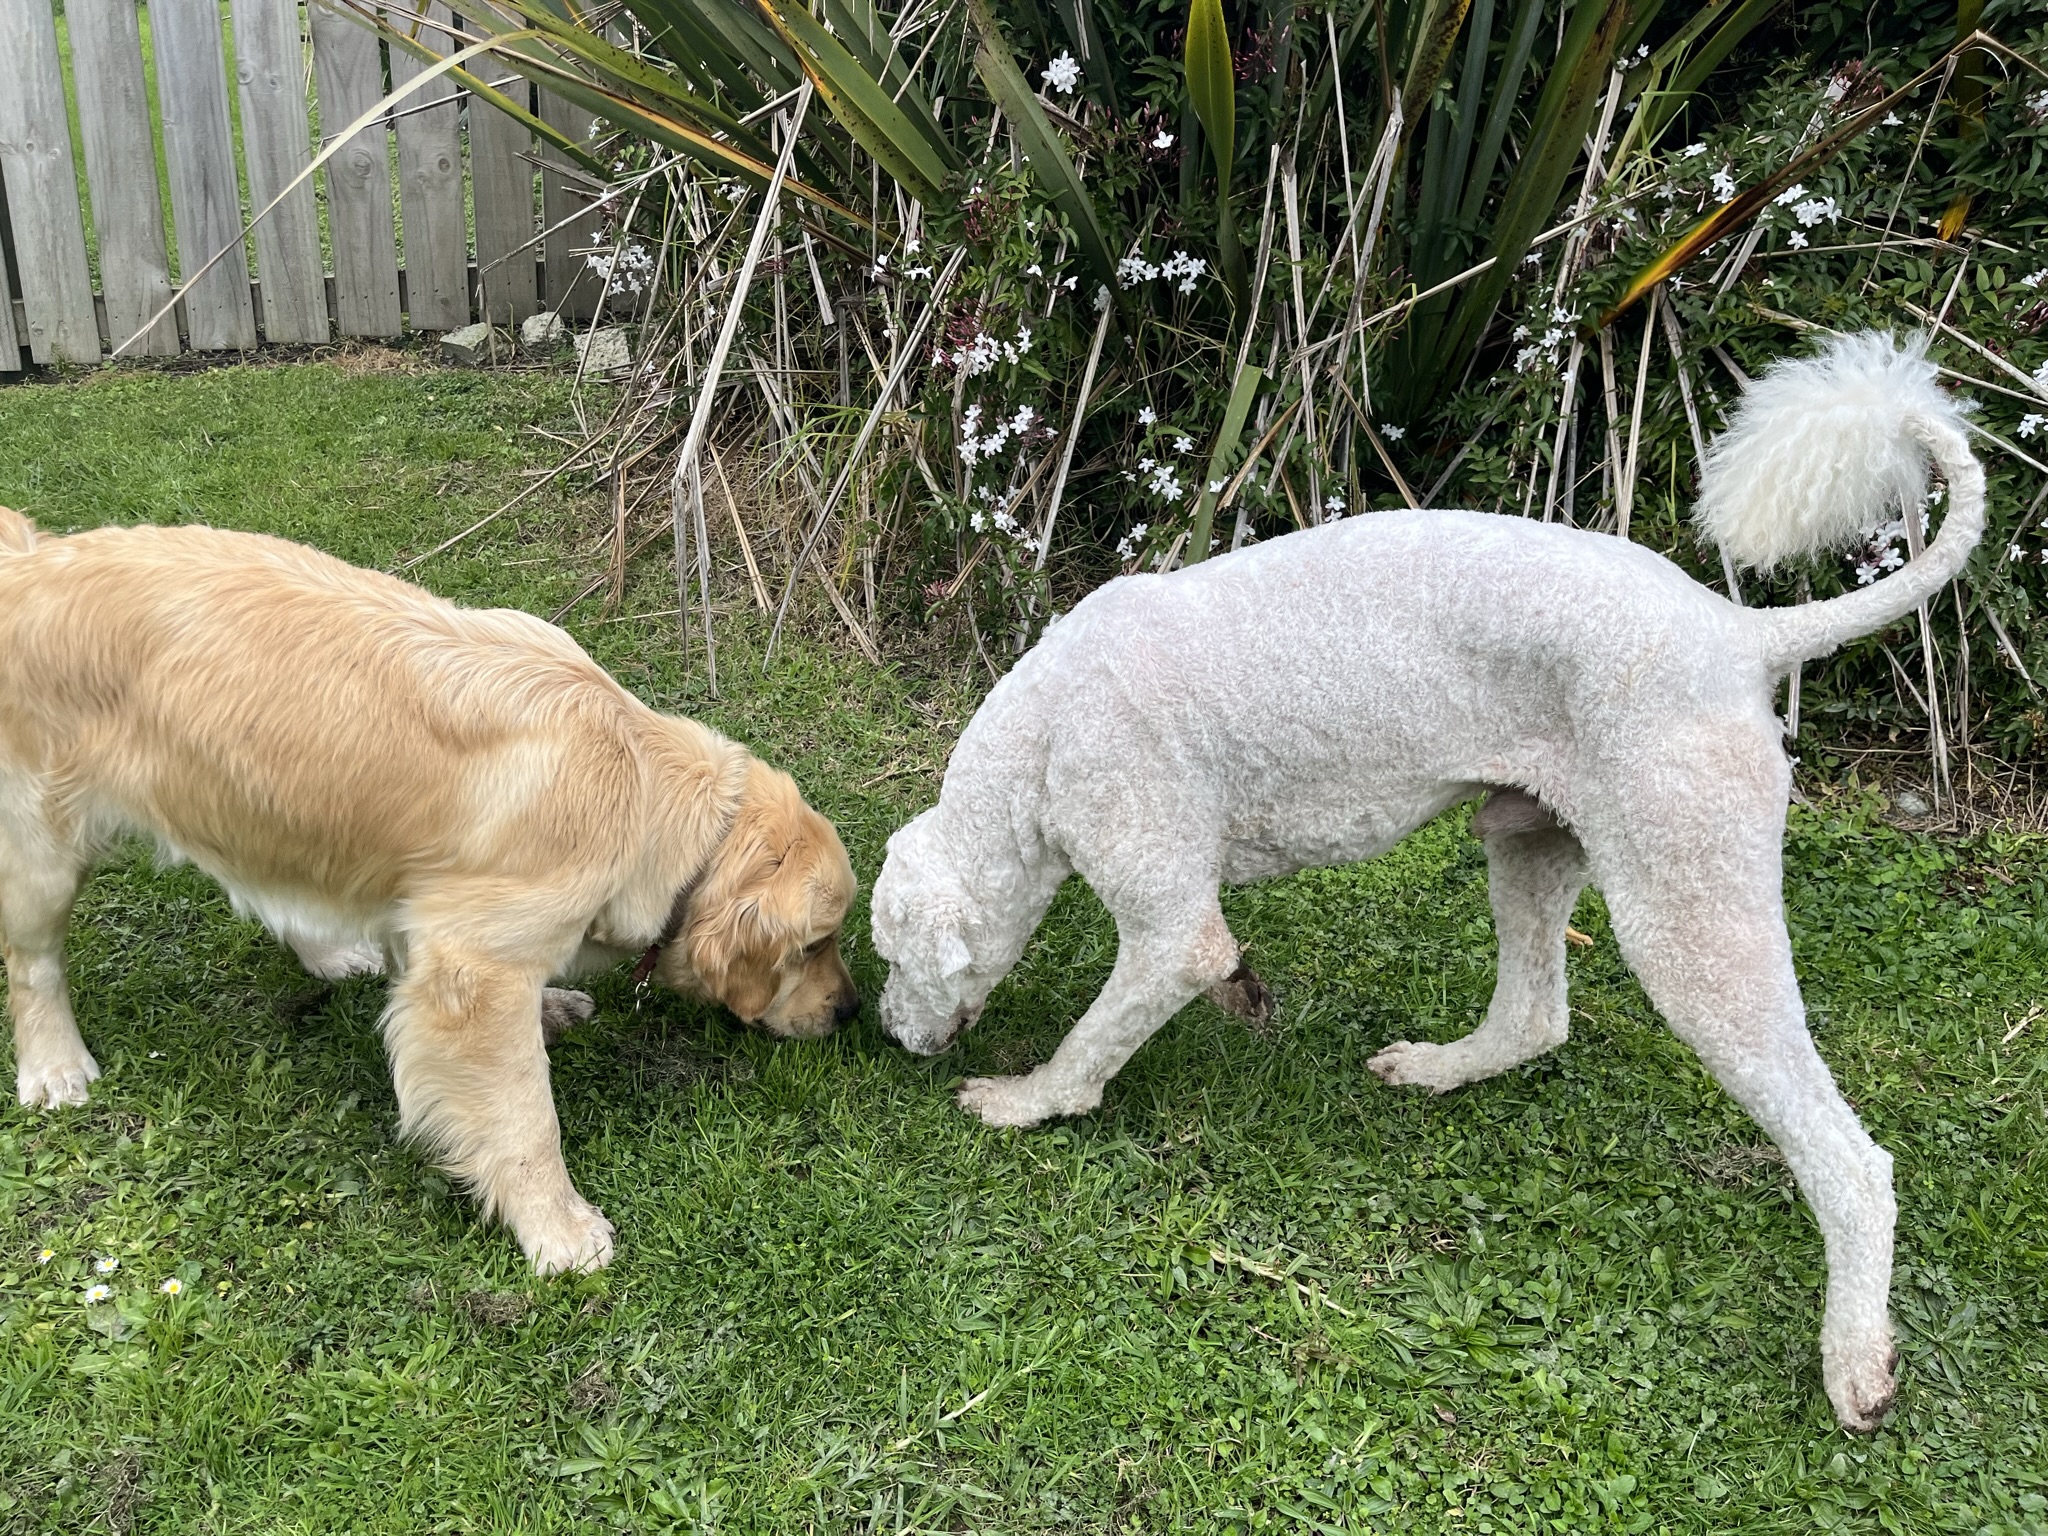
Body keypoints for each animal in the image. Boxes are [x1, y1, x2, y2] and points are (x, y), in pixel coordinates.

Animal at [0, 505, 856, 1277]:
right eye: (814, 944)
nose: (849, 1010)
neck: (645, 787)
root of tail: (30, 559)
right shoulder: (474, 967)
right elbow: (524, 1115)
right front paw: (558, 1228)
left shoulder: (440, 914)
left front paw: (547, 1011)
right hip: (42, 849)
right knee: (33, 964)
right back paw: (55, 1067)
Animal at [876, 331, 1982, 1441]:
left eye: (892, 958)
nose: (884, 1031)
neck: (1039, 741)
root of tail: (1740, 635)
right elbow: (1211, 970)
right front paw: (1242, 993)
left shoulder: (1158, 909)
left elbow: (1097, 1037)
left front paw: (1024, 1100)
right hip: (1530, 842)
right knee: (1534, 1018)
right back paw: (1440, 1069)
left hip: (1688, 914)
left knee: (1851, 1164)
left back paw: (1855, 1358)